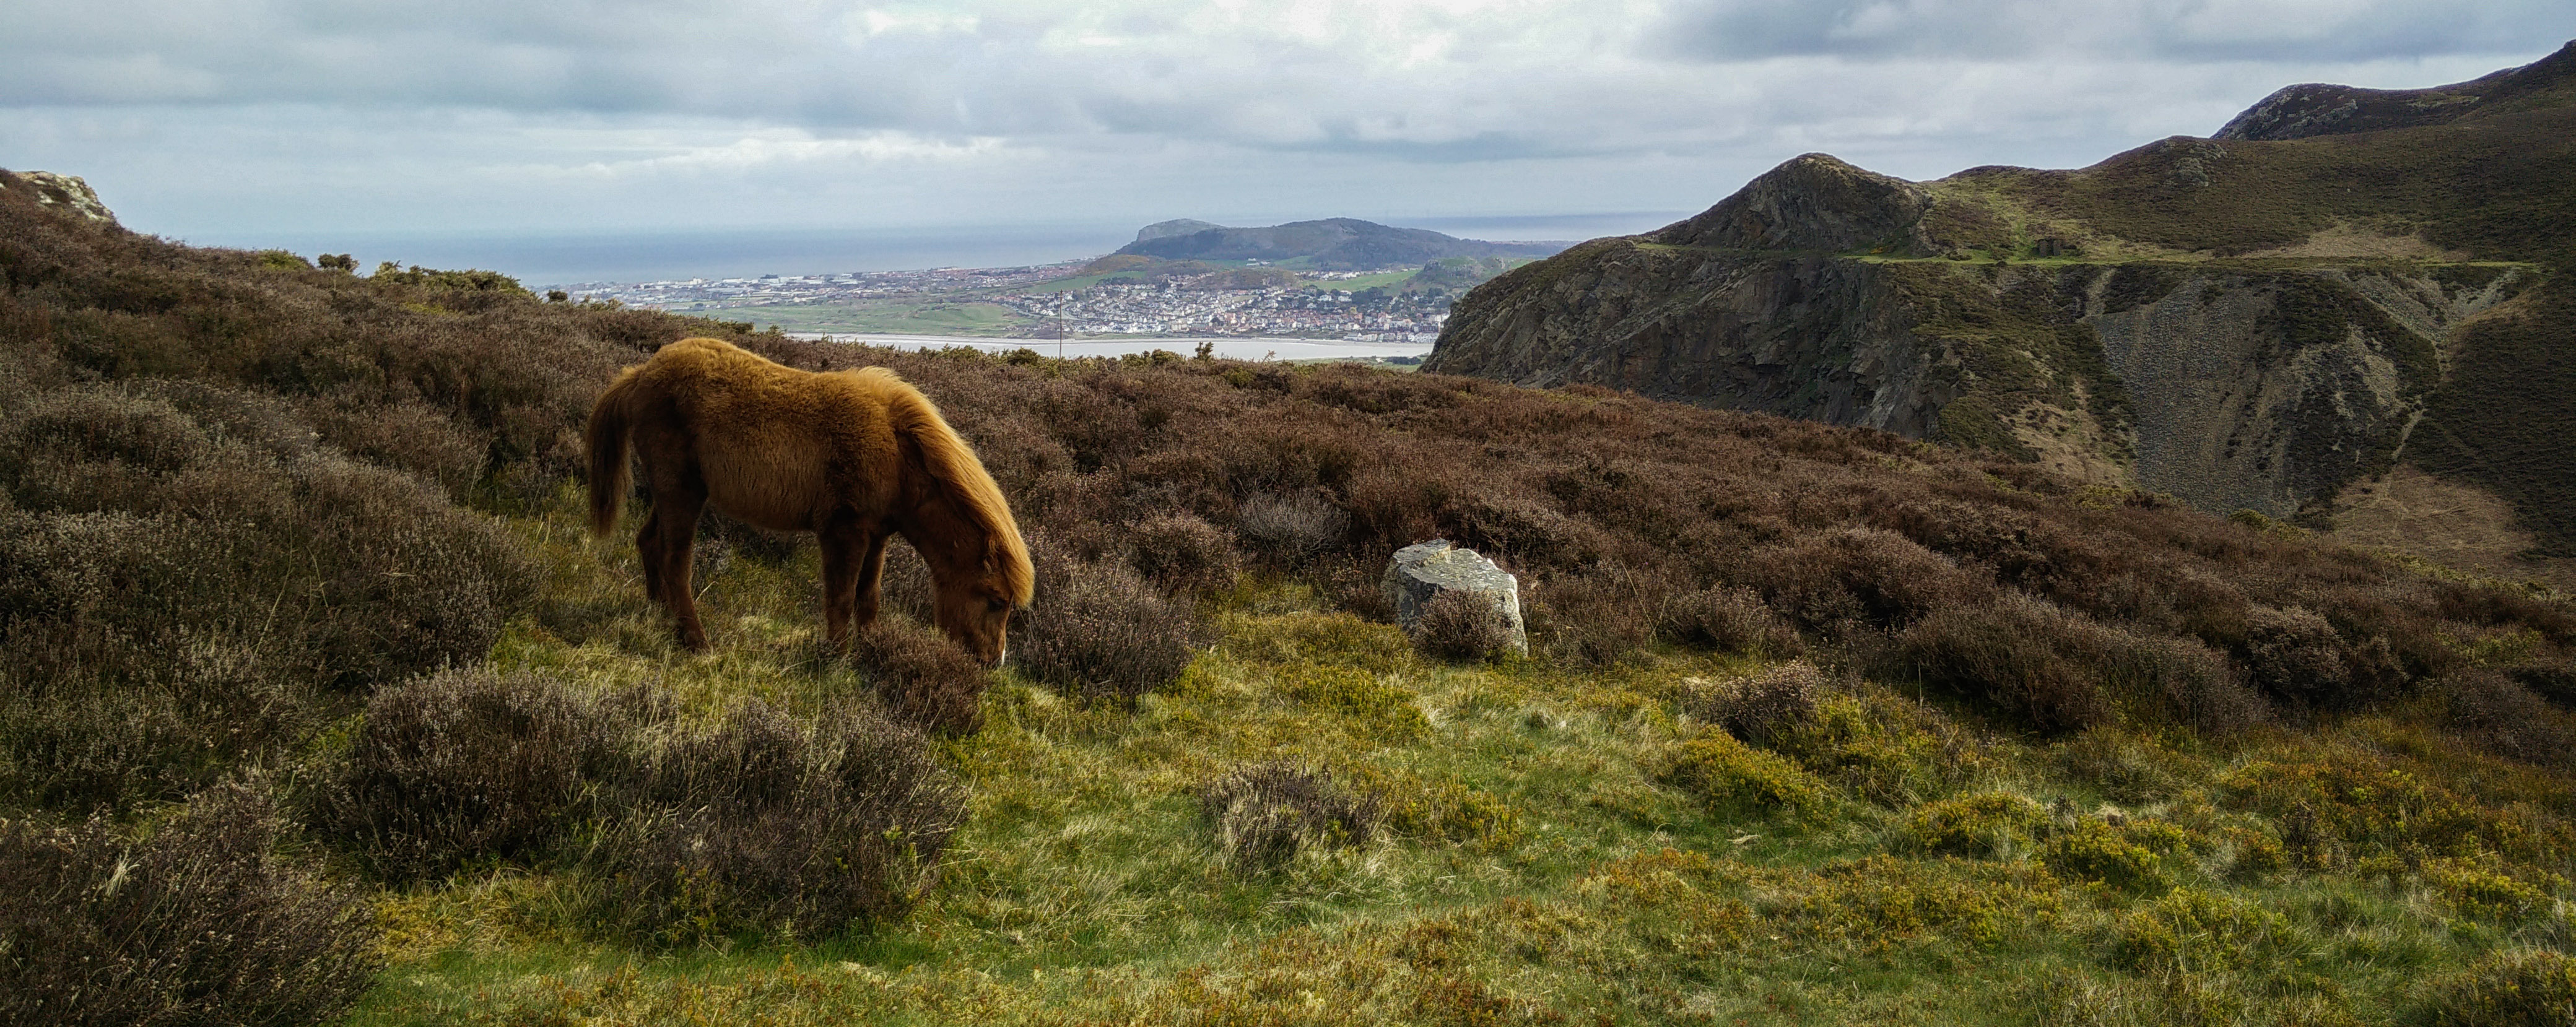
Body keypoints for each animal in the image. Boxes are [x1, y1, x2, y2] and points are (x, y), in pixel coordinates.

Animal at [579, 337, 1030, 659]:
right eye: (996, 600)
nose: (992, 662)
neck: (898, 452)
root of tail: (640, 373)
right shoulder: (842, 531)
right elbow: (841, 597)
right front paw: (836, 658)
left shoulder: (877, 536)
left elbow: (868, 598)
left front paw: (872, 652)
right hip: (681, 493)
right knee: (676, 565)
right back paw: (696, 641)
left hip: (673, 493)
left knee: (649, 543)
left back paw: (660, 616)